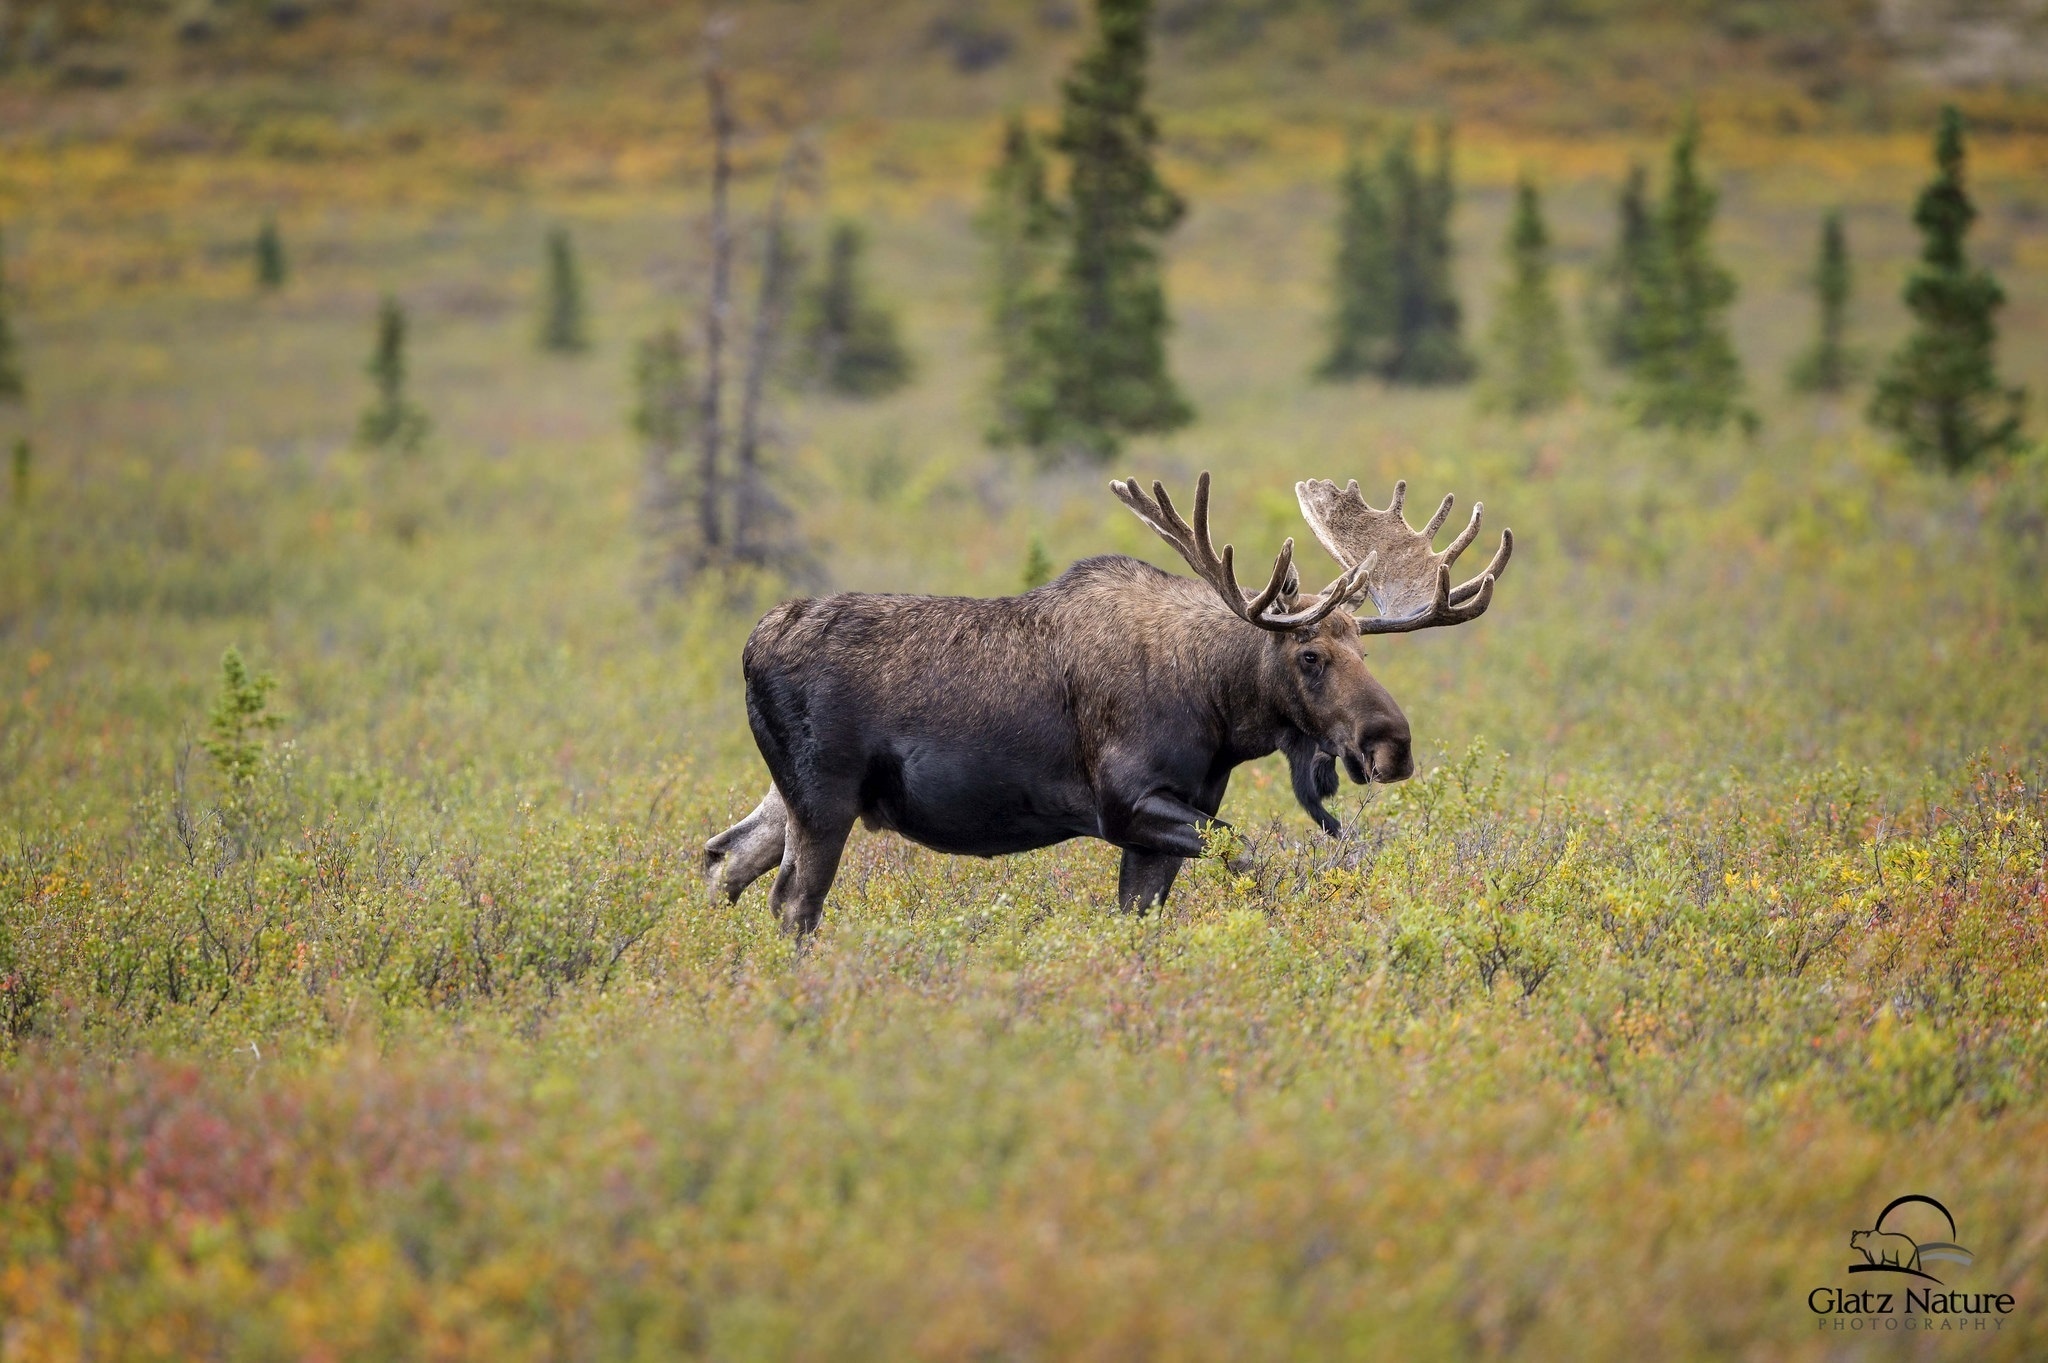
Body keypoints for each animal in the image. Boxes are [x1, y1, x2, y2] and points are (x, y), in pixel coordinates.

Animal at [704, 472, 1507, 929]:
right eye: (1310, 654)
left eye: (1365, 651)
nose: (1392, 744)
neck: (1220, 712)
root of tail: (751, 644)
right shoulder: (1125, 805)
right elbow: (1249, 855)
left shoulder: (1159, 825)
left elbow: (1140, 918)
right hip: (824, 796)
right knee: (792, 901)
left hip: (791, 796)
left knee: (723, 857)